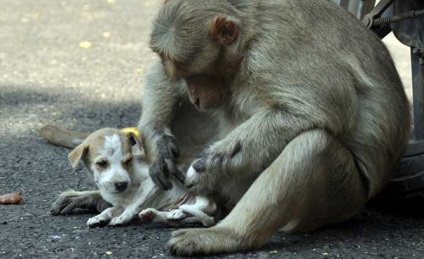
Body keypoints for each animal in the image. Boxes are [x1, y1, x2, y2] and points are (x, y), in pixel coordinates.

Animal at [58, 129, 217, 229]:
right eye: (101, 163)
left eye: (128, 160)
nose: (121, 184)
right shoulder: (120, 203)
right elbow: (110, 209)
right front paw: (100, 217)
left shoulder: (151, 181)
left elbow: (135, 202)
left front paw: (123, 218)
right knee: (176, 220)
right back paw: (160, 215)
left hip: (192, 180)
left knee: (207, 205)